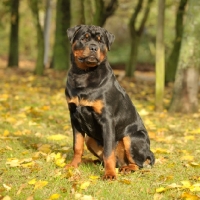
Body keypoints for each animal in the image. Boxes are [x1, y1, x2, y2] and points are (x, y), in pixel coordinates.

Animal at [65, 24, 154, 180]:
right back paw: (91, 162)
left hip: (131, 138)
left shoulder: (106, 119)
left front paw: (110, 174)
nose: (93, 47)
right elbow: (77, 146)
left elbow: (108, 151)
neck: (84, 74)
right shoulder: (74, 117)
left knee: (139, 164)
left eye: (101, 41)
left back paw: (126, 168)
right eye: (84, 39)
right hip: (91, 139)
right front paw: (73, 165)